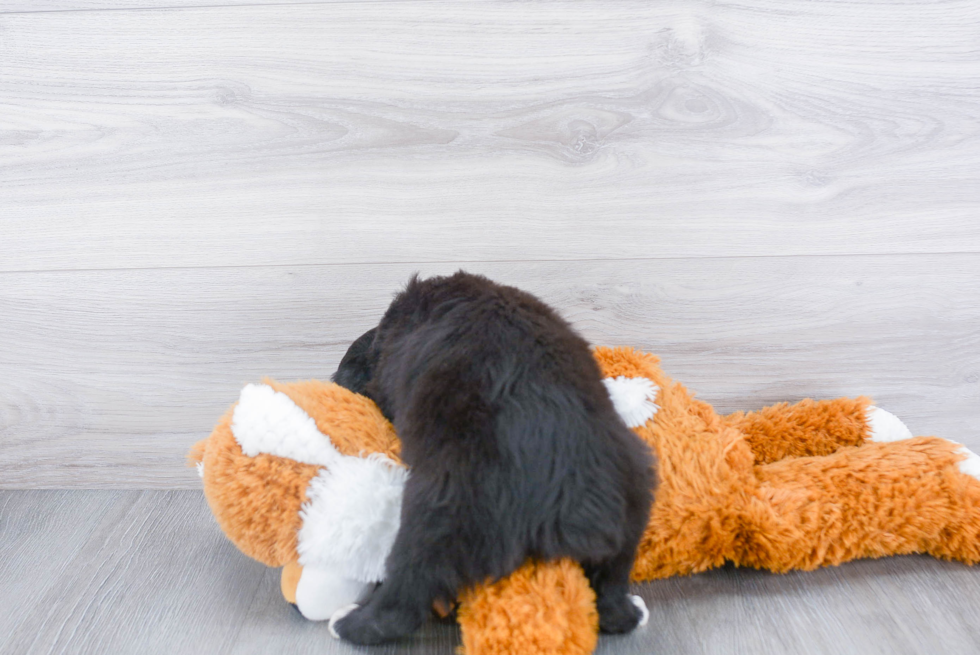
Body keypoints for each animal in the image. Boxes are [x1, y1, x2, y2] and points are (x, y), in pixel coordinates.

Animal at [332, 272, 660, 644]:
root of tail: (561, 481)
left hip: (439, 508)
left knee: (404, 597)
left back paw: (350, 622)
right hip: (633, 492)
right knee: (611, 589)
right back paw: (630, 610)